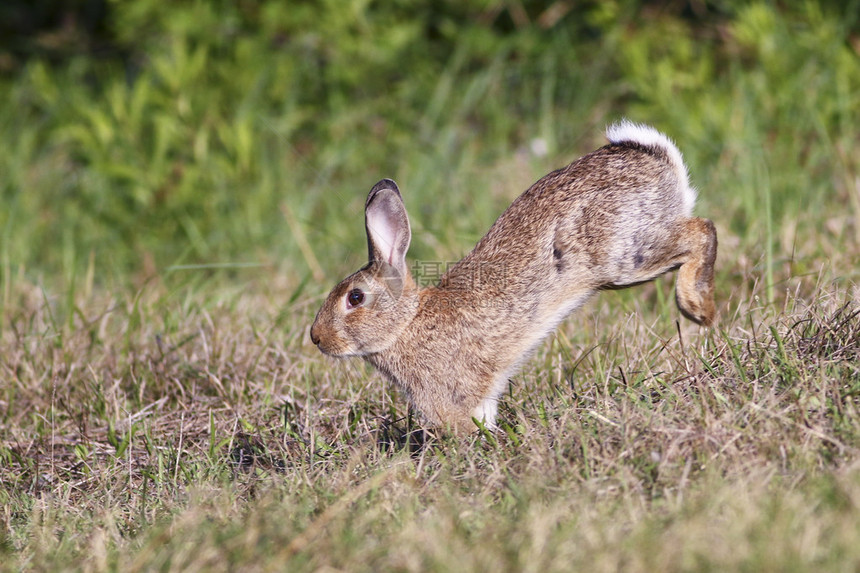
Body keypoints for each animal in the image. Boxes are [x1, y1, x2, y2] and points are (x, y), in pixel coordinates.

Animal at [310, 120, 720, 434]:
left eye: (355, 298)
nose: (316, 338)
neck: (406, 323)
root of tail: (656, 159)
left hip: (623, 255)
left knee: (702, 230)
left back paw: (698, 307)